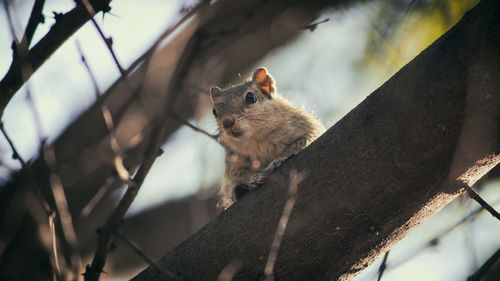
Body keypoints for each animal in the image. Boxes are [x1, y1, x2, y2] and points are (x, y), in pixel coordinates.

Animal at [210, 67, 324, 208]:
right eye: (214, 111)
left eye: (251, 97)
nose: (227, 122)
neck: (257, 139)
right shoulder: (234, 160)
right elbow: (236, 173)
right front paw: (253, 178)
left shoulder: (307, 126)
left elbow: (304, 141)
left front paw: (279, 159)